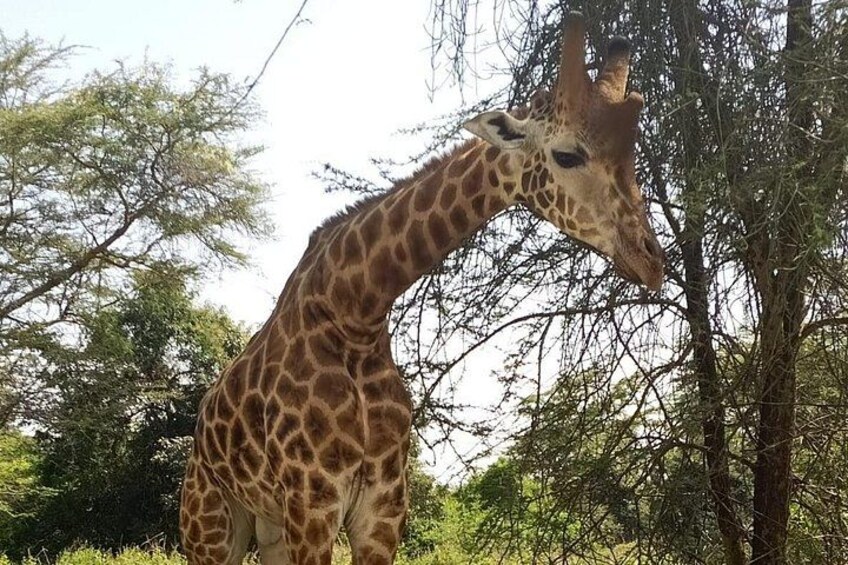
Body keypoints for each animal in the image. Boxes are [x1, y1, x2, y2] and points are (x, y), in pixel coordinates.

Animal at [180, 12, 663, 565]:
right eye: (566, 155)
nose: (651, 260)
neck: (355, 312)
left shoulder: (384, 506)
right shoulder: (313, 498)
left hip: (269, 525)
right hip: (211, 527)